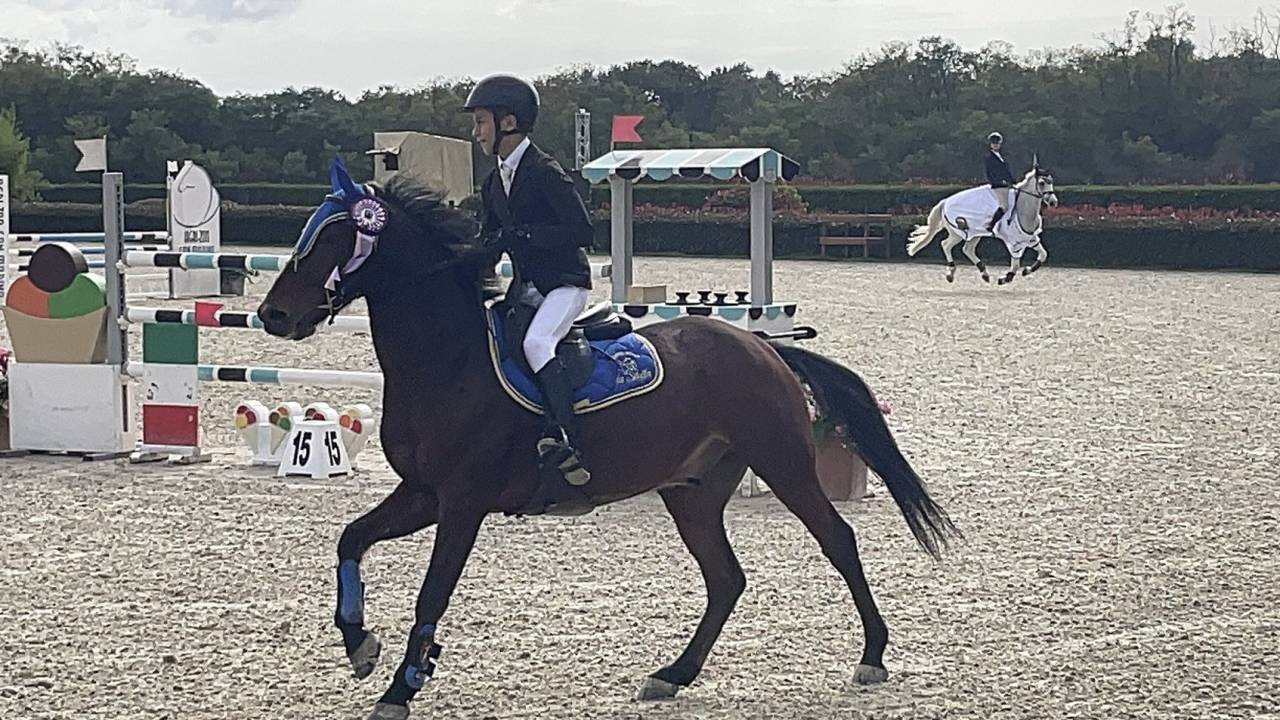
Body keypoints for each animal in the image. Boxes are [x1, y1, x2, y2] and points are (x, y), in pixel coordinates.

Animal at [257, 159, 959, 720]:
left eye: (336, 237)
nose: (273, 315)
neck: (447, 361)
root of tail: (761, 345)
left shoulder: (461, 503)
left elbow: (433, 591)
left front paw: (402, 686)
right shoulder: (424, 493)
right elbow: (352, 539)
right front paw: (362, 646)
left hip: (782, 463)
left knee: (837, 541)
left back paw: (872, 656)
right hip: (693, 489)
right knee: (725, 578)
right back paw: (673, 675)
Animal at [906, 161, 1059, 285]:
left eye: (1051, 181)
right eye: (1042, 183)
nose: (1053, 202)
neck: (1022, 209)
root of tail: (944, 202)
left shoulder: (1030, 238)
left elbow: (1043, 255)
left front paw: (1027, 270)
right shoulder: (1013, 242)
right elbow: (1015, 265)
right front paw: (1005, 278)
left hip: (974, 233)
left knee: (966, 249)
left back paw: (983, 273)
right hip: (959, 233)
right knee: (946, 244)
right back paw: (952, 273)